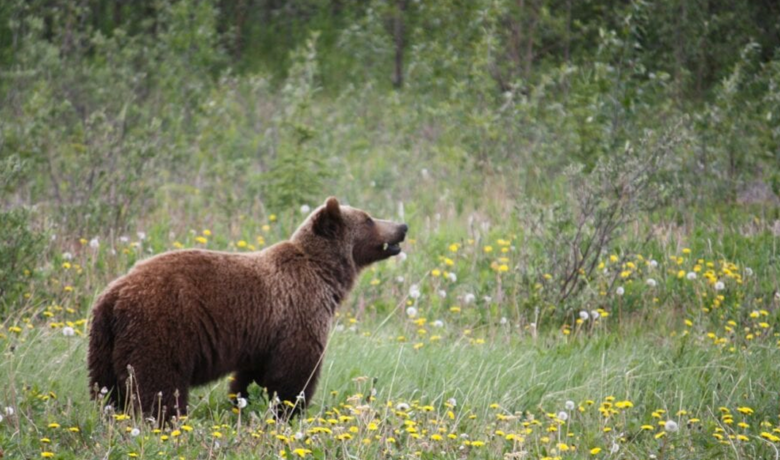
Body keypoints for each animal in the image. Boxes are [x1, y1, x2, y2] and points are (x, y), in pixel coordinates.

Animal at [87, 197, 407, 421]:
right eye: (368, 219)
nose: (402, 227)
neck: (325, 275)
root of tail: (115, 295)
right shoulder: (298, 313)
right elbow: (294, 374)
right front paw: (288, 412)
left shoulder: (263, 336)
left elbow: (251, 378)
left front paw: (244, 404)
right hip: (161, 328)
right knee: (158, 385)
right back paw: (164, 421)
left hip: (104, 342)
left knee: (106, 390)